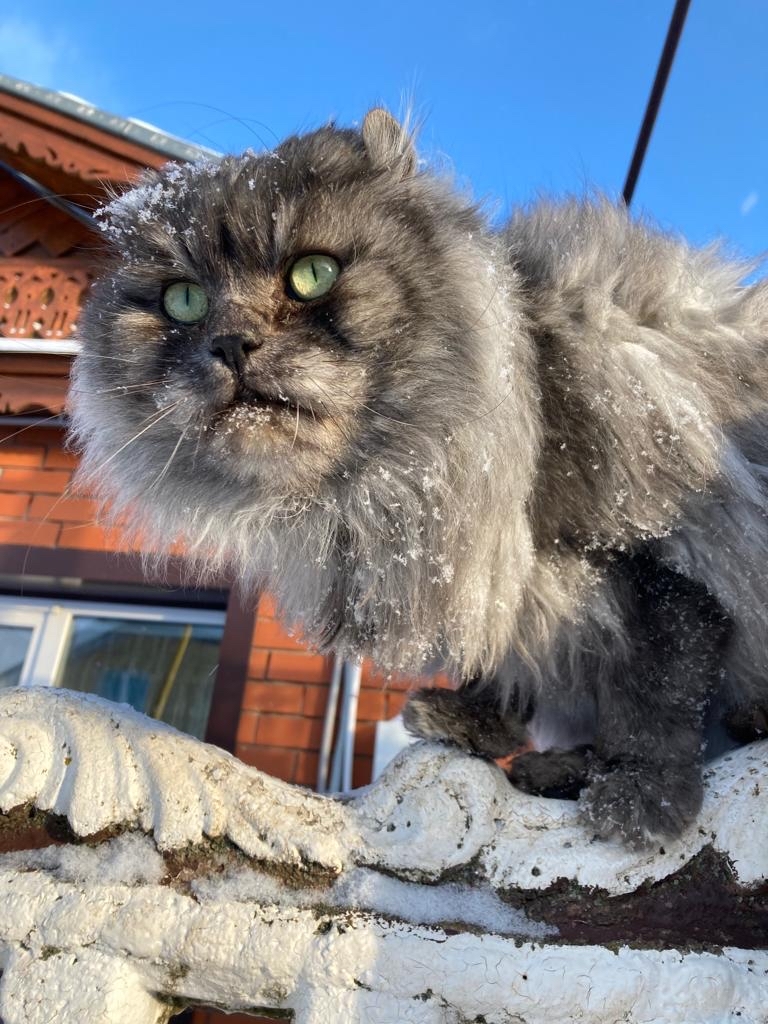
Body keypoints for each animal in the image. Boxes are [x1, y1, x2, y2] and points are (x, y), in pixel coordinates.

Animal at [70, 112, 768, 847]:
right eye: (183, 300)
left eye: (312, 274)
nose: (231, 343)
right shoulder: (493, 571)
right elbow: (504, 655)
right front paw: (478, 720)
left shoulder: (654, 545)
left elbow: (662, 670)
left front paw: (641, 790)